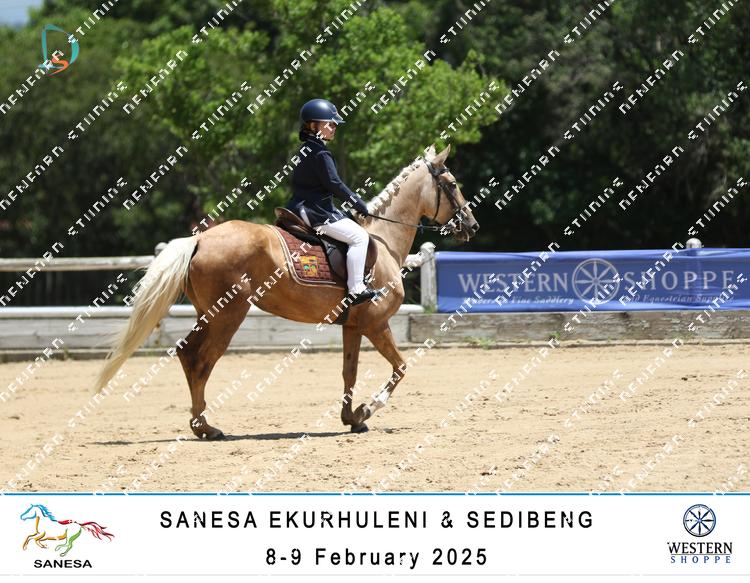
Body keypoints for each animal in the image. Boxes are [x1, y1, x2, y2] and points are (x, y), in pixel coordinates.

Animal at [93, 143, 479, 438]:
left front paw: (351, 419)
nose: (472, 226)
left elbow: (350, 371)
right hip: (228, 314)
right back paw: (207, 428)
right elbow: (400, 367)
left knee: (188, 354)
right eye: (452, 183)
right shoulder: (375, 323)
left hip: (209, 313)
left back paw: (201, 424)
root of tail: (201, 238)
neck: (383, 241)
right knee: (202, 361)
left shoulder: (353, 326)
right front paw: (368, 409)